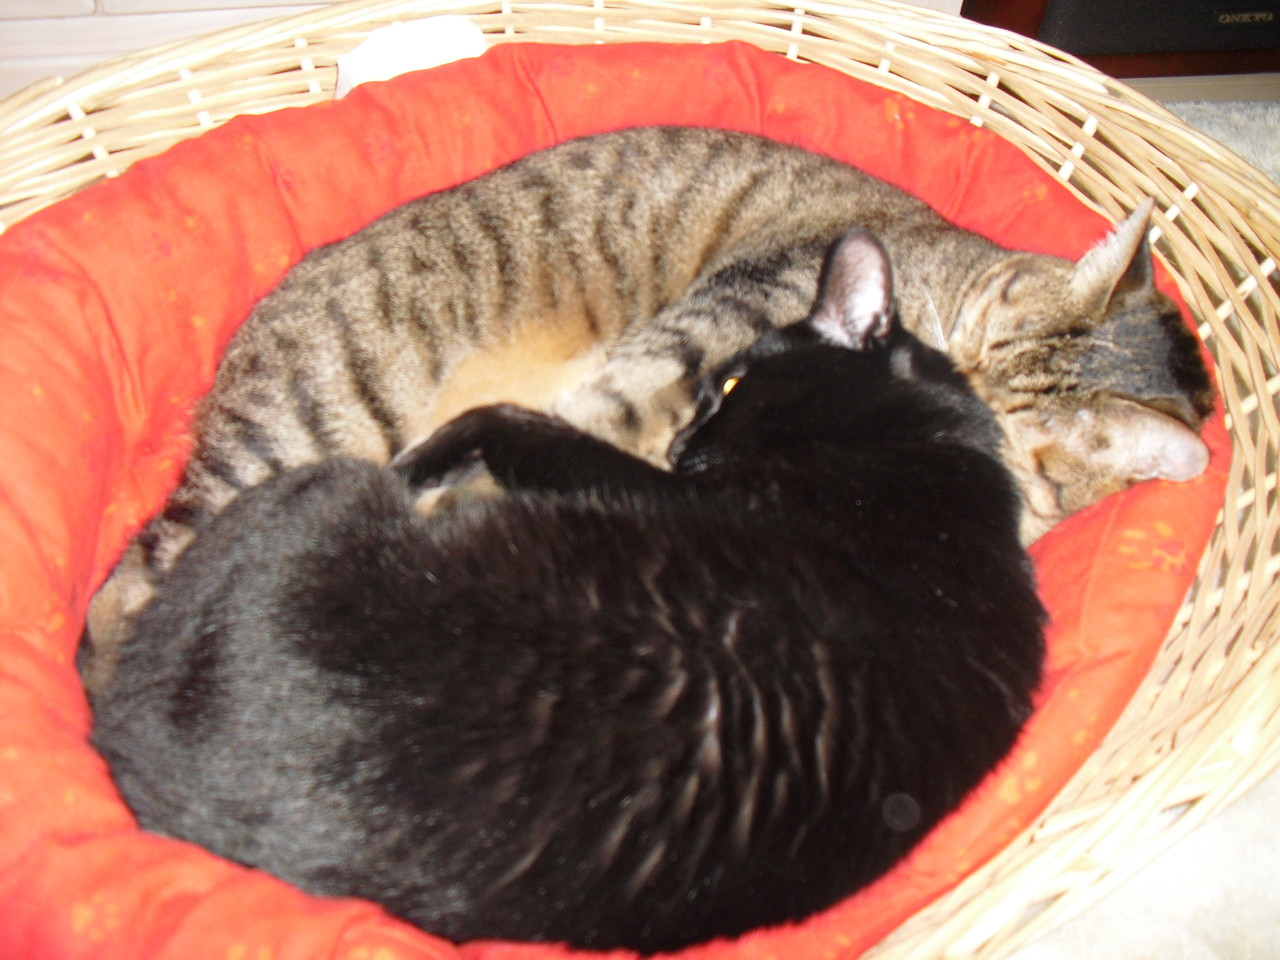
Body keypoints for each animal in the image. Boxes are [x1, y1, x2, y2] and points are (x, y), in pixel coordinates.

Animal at [90, 231, 1047, 953]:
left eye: (733, 385)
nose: (683, 446)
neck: (926, 452)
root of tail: (124, 747)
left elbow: (511, 427)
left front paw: (441, 455)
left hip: (331, 487)